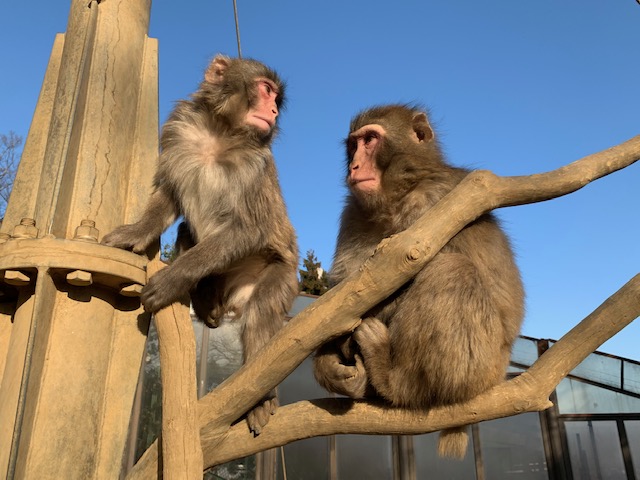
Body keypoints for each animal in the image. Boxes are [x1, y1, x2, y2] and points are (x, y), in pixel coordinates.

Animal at [102, 53, 298, 436]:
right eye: (265, 90)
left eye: (276, 99)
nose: (273, 111)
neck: (220, 133)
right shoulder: (179, 132)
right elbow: (168, 195)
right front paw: (137, 232)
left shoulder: (255, 165)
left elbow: (249, 229)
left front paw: (170, 280)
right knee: (185, 230)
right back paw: (205, 299)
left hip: (280, 273)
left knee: (259, 313)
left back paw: (259, 399)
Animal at [312, 104, 524, 458]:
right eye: (353, 145)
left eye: (370, 140)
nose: (355, 166)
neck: (400, 194)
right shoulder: (352, 214)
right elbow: (342, 295)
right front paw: (327, 366)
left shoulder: (434, 201)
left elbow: (405, 271)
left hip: (481, 369)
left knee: (451, 269)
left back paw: (393, 379)